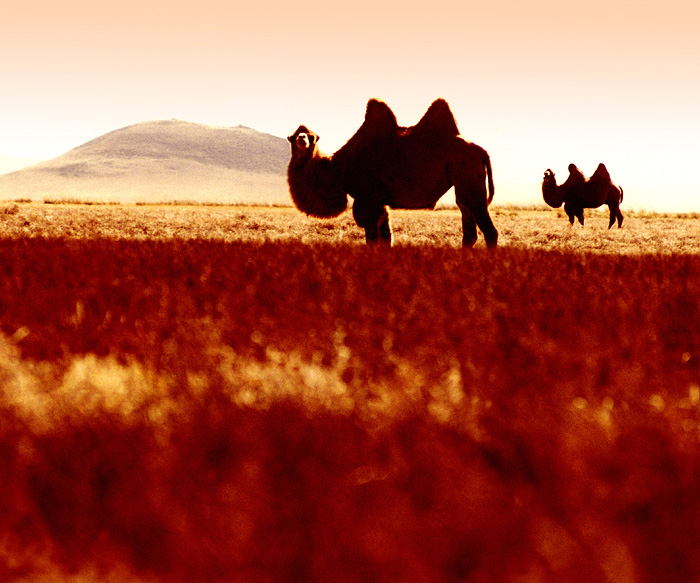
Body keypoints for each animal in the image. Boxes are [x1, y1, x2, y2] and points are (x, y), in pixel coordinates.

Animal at [286, 97, 498, 246]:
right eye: (294, 135)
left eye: (312, 137)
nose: (302, 139)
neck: (339, 170)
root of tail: (479, 150)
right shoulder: (379, 201)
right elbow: (386, 237)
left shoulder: (367, 198)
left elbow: (373, 238)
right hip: (463, 184)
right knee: (469, 229)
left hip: (467, 175)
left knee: (489, 231)